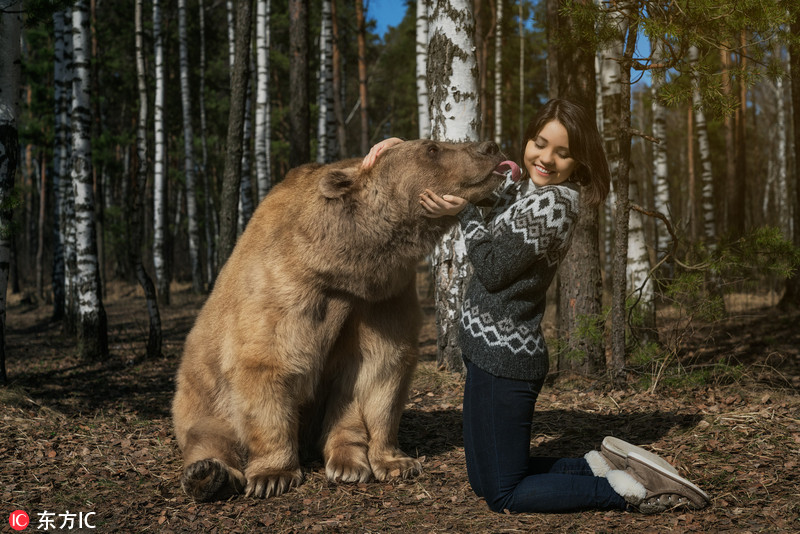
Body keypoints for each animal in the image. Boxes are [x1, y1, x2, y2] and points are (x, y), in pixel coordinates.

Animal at [173, 138, 510, 502]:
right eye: (431, 148)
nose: (491, 146)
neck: (347, 265)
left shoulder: (381, 300)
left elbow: (382, 369)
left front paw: (397, 461)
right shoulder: (288, 290)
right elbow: (267, 365)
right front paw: (272, 475)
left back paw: (347, 463)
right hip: (200, 396)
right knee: (209, 435)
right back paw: (209, 474)